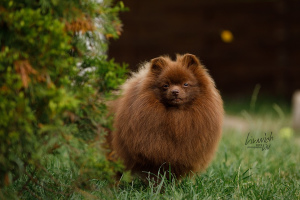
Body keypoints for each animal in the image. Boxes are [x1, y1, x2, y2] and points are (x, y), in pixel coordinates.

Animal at [108, 53, 223, 181]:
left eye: (185, 84)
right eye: (165, 85)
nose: (175, 91)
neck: (176, 117)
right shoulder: (152, 150)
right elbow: (155, 172)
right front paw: (158, 185)